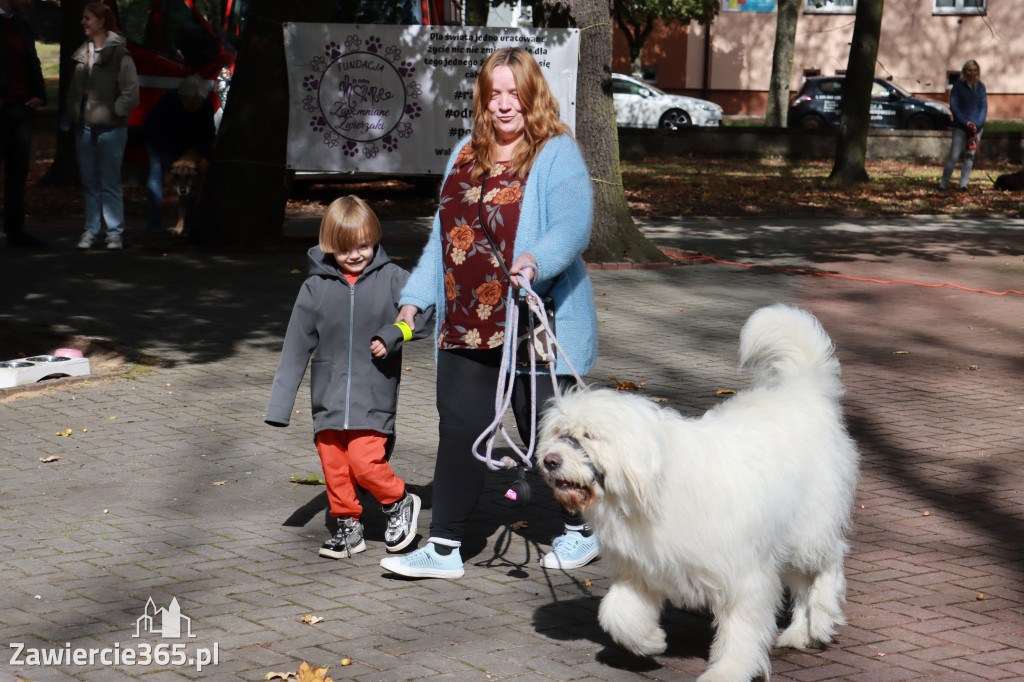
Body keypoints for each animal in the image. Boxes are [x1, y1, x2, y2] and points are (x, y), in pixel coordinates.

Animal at [540, 303, 860, 679]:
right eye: (559, 433)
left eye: (588, 435)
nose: (549, 460)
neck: (655, 485)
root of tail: (803, 392)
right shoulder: (641, 568)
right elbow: (617, 611)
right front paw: (649, 641)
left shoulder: (742, 574)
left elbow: (740, 631)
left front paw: (729, 670)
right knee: (802, 583)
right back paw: (799, 632)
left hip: (808, 528)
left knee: (830, 562)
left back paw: (822, 619)